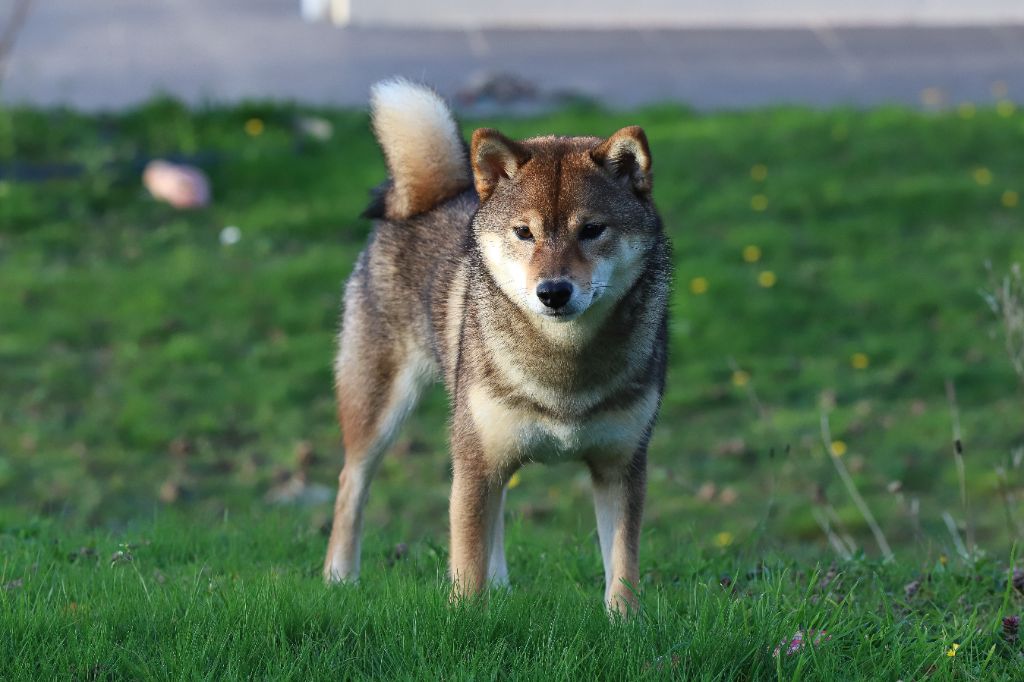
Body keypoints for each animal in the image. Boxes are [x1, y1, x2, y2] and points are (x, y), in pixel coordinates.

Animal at [321, 78, 671, 610]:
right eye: (524, 233)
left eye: (592, 230)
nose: (553, 291)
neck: (563, 366)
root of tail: (435, 195)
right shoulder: (473, 463)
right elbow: (466, 567)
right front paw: (466, 617)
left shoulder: (620, 467)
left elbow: (623, 571)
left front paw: (625, 623)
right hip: (381, 413)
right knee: (350, 484)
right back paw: (340, 577)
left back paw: (502, 586)